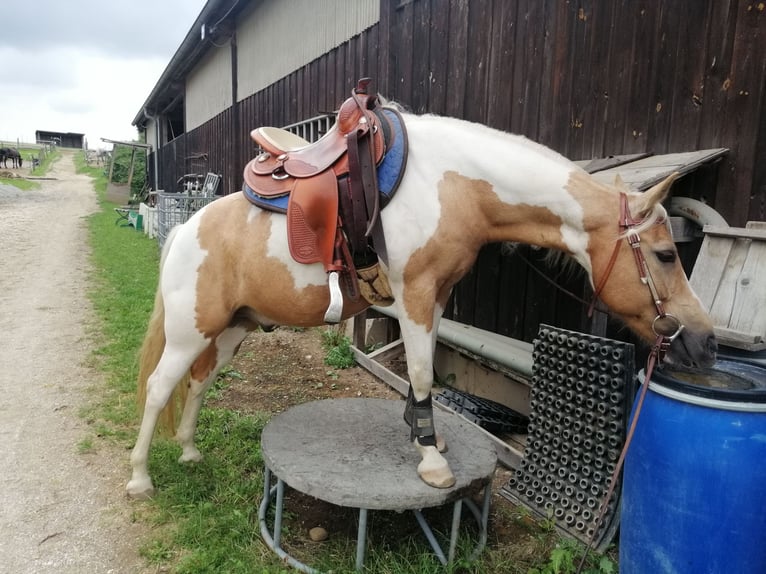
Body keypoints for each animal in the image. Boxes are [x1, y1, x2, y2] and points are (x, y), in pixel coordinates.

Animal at [126, 108, 717, 499]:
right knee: (158, 388)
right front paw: (432, 461)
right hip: (190, 330)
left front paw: (422, 435)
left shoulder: (438, 298)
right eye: (666, 254)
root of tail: (184, 229)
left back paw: (188, 450)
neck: (453, 185)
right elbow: (420, 369)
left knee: (197, 382)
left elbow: (424, 364)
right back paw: (140, 477)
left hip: (229, 330)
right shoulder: (413, 293)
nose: (704, 341)